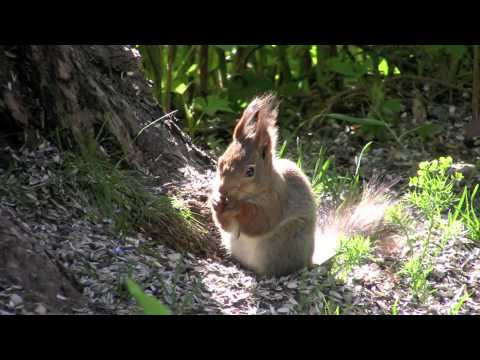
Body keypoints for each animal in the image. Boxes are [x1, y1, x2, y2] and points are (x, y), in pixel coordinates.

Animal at [210, 93, 390, 278]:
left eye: (250, 172)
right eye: (220, 161)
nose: (223, 189)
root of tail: (309, 260)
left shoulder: (276, 200)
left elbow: (259, 222)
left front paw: (236, 206)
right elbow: (226, 226)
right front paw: (215, 201)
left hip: (283, 241)